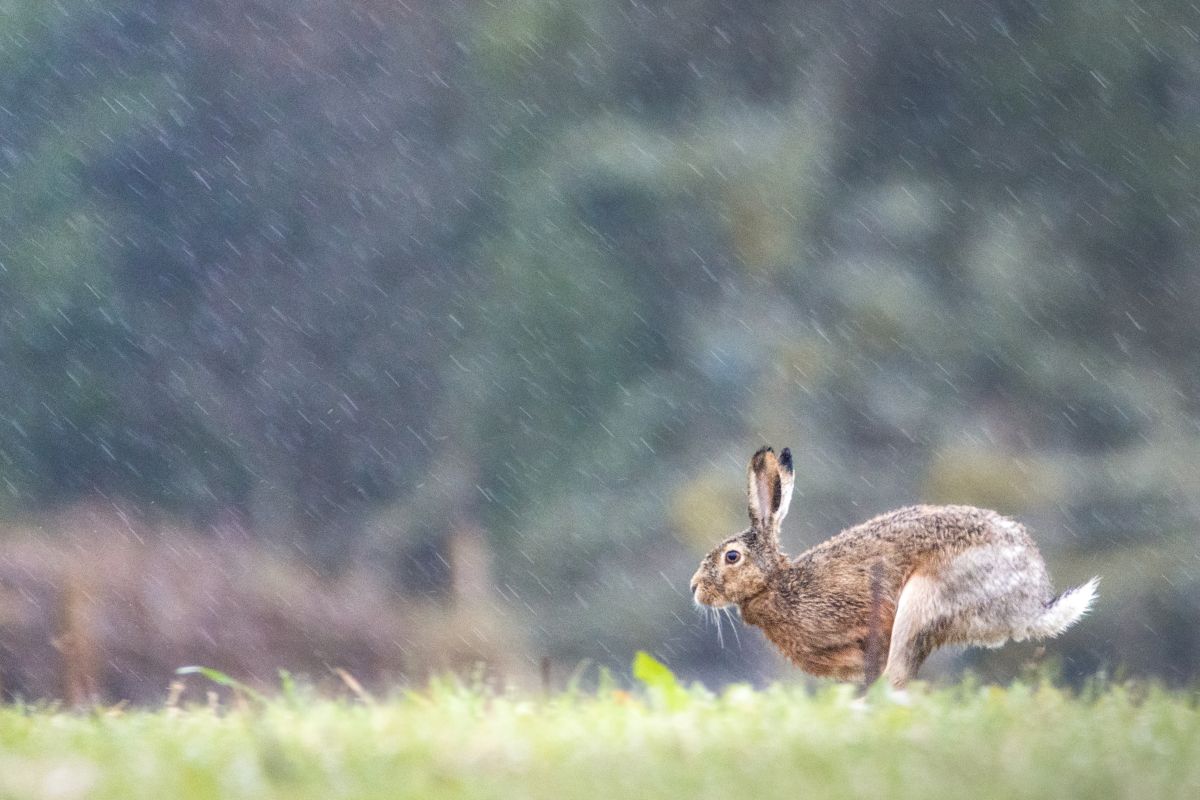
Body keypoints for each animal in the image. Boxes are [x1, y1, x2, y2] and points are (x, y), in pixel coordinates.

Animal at [690, 446, 1098, 687]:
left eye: (731, 556)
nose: (694, 588)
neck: (775, 583)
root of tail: (1027, 606)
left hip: (922, 602)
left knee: (897, 677)